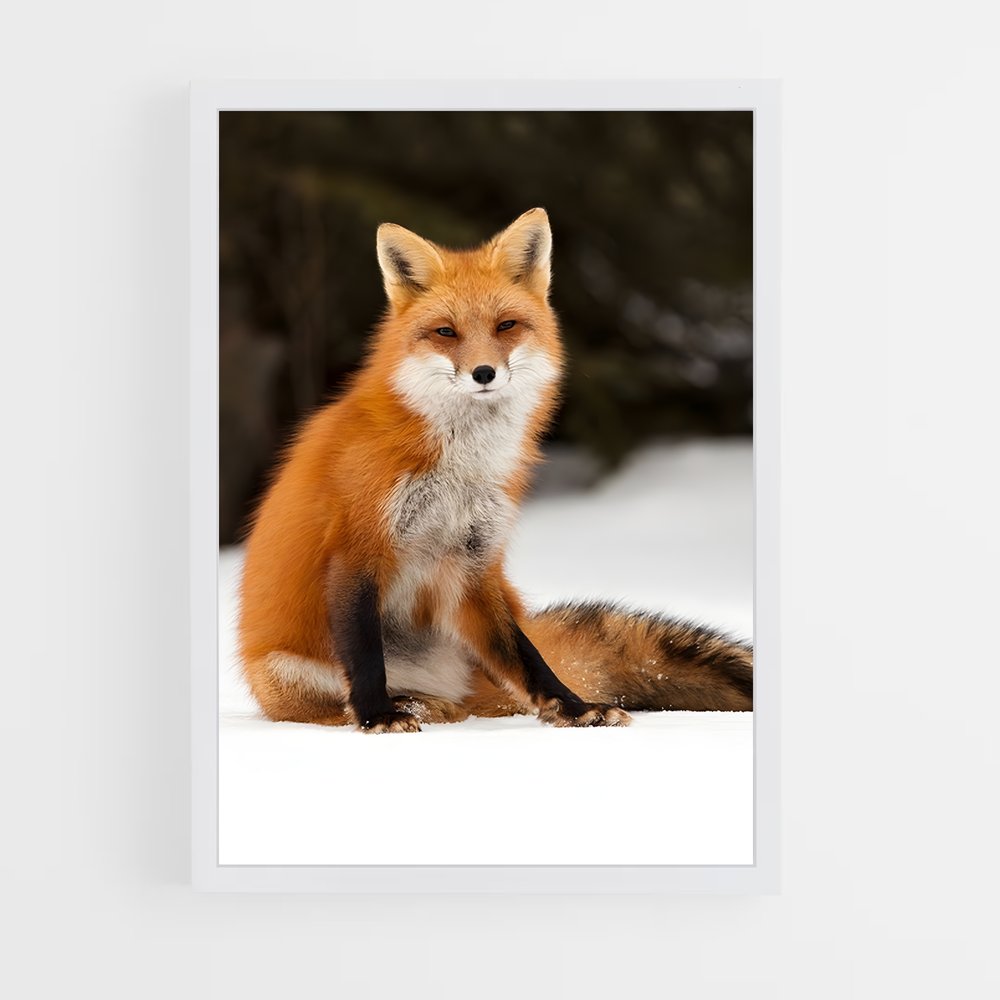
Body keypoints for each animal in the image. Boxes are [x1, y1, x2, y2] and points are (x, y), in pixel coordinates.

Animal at [237, 208, 752, 733]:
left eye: (506, 325)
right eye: (446, 332)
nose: (483, 373)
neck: (459, 468)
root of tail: (444, 684)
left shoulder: (474, 563)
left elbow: (527, 657)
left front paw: (573, 707)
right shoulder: (357, 547)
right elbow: (364, 655)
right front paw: (377, 715)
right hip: (287, 672)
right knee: (341, 703)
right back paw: (410, 704)